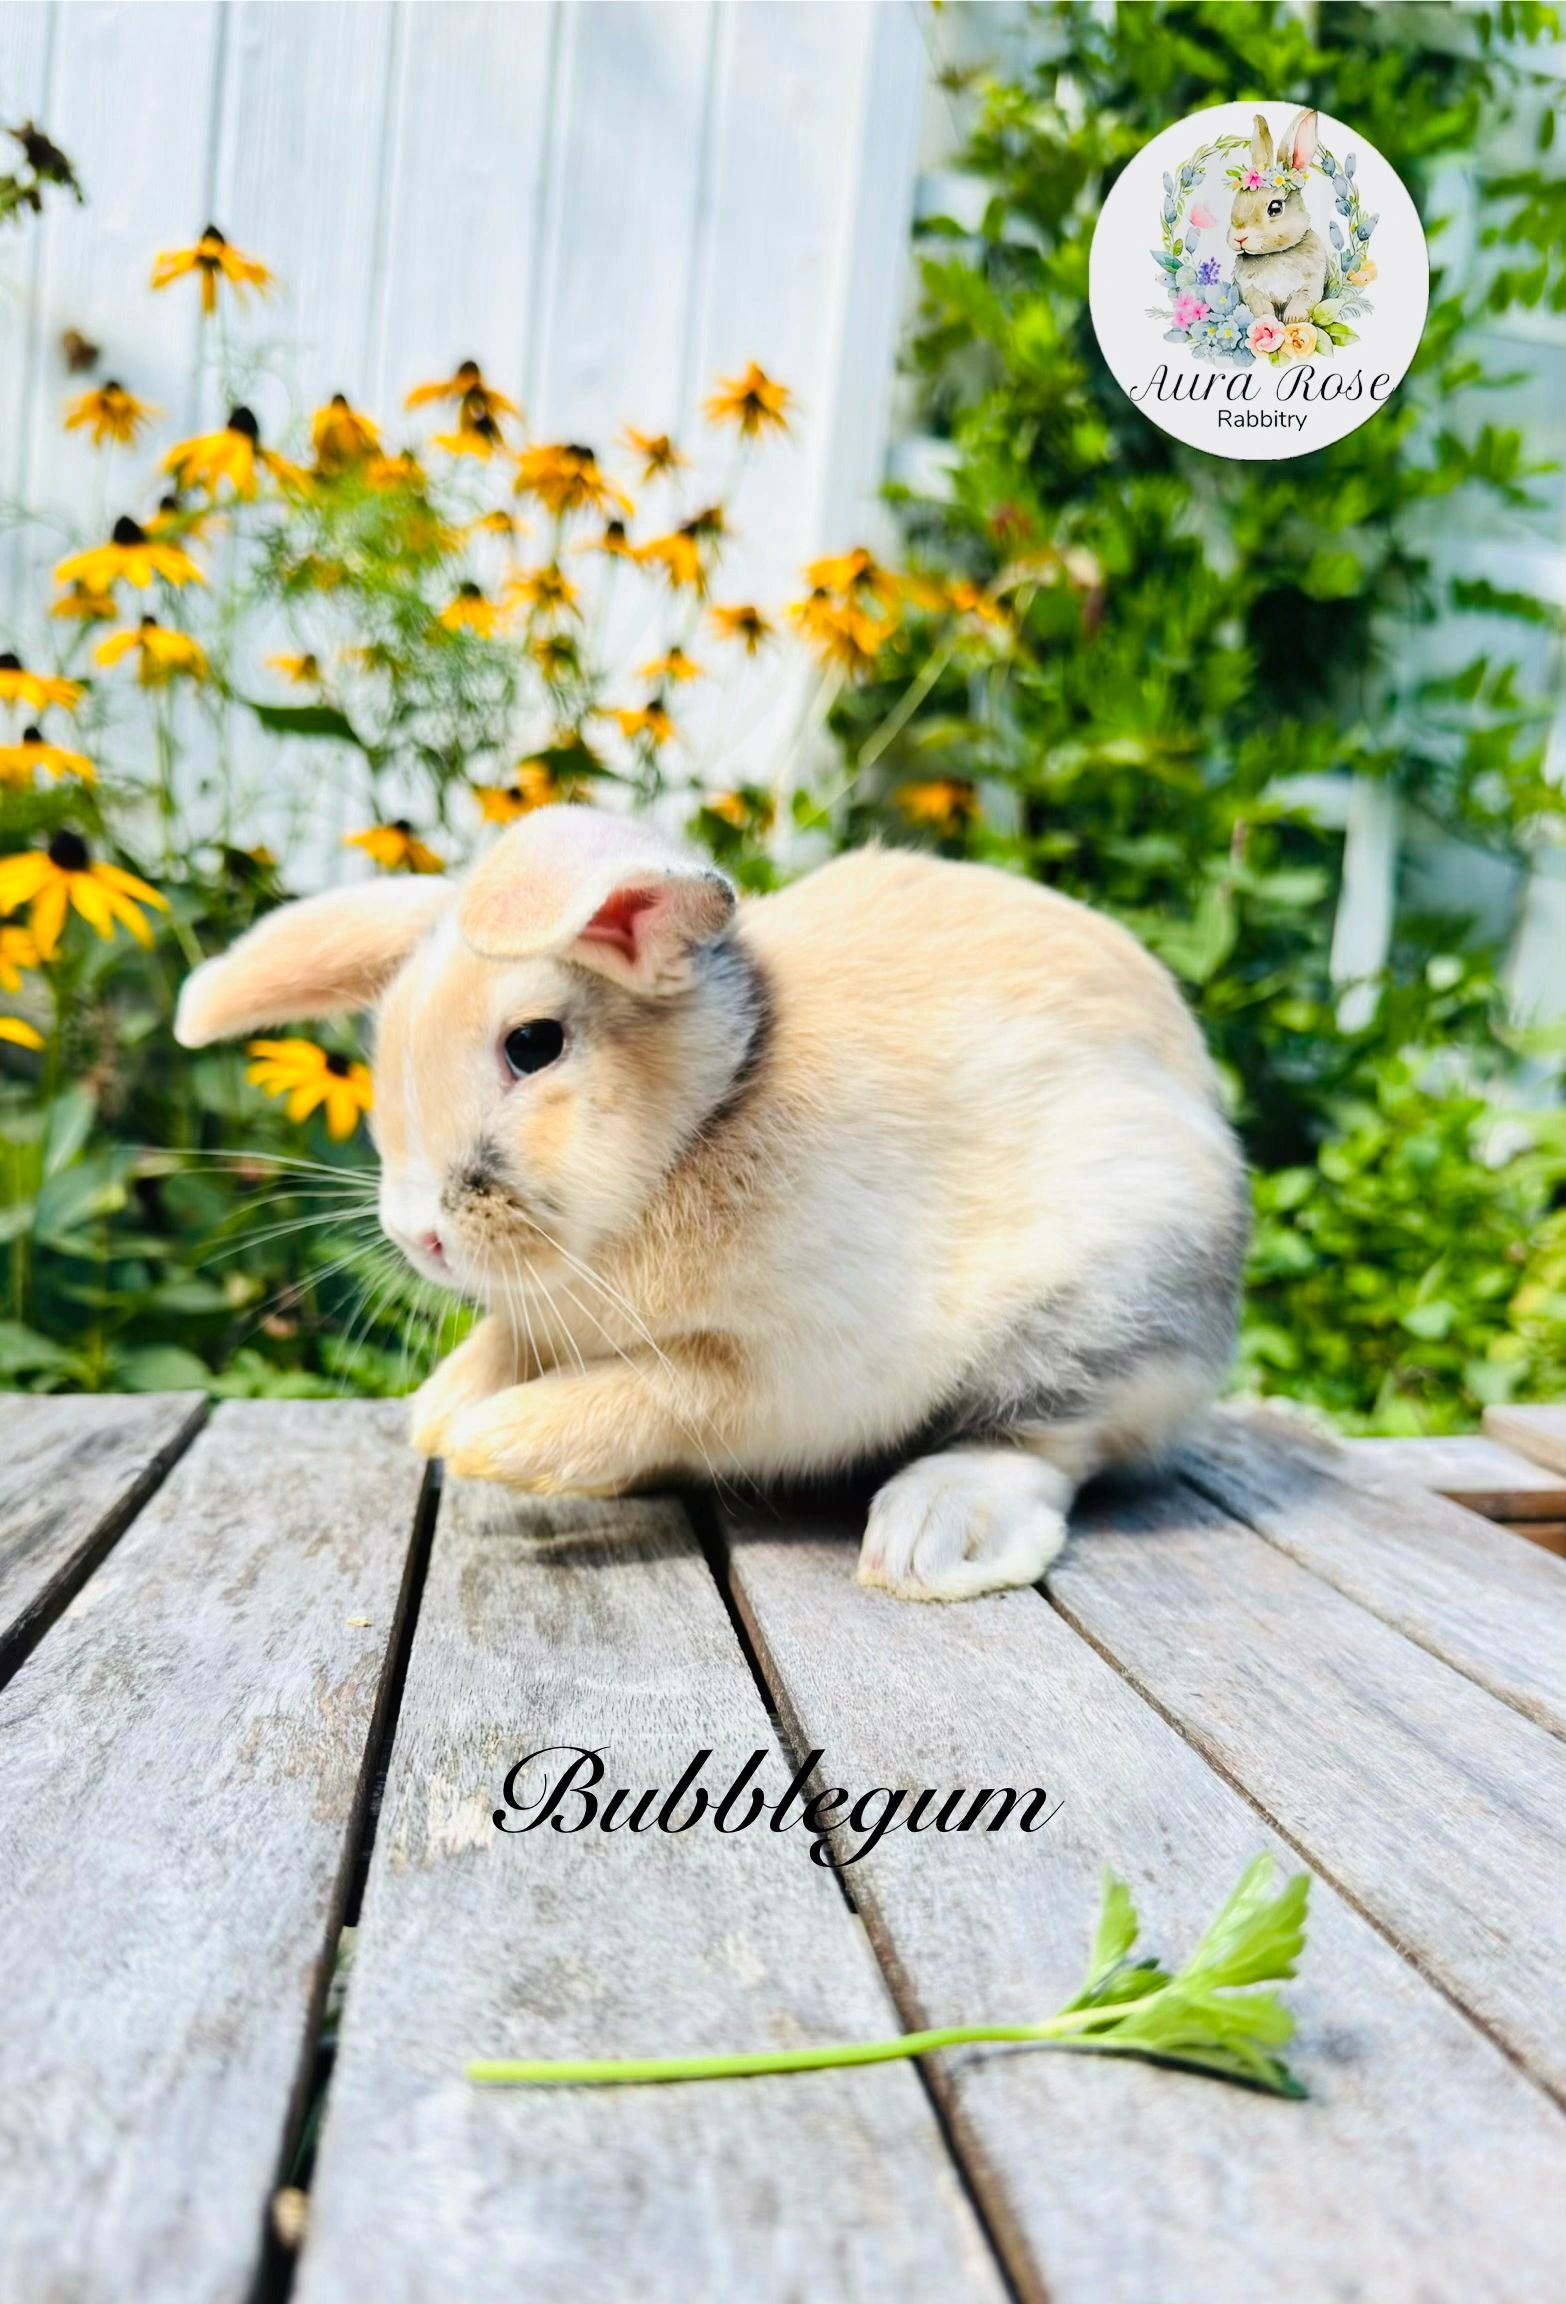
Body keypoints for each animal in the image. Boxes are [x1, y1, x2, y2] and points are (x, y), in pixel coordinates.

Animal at [175, 805, 1249, 1602]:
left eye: (533, 1043)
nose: (418, 1235)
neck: (712, 1109)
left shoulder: (787, 1373)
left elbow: (659, 1394)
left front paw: (490, 1439)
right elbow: (513, 1350)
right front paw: (443, 1407)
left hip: (1107, 1301)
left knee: (1050, 1441)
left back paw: (935, 1533)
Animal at [1228, 109, 1326, 326]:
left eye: (1275, 208)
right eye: (1236, 200)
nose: (1238, 238)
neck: (1275, 254)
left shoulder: (1310, 286)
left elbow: (1301, 302)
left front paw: (1293, 320)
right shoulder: (1253, 291)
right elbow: (1262, 309)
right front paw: (1267, 323)